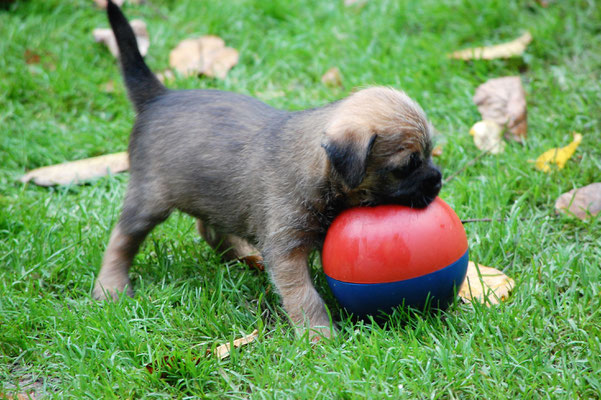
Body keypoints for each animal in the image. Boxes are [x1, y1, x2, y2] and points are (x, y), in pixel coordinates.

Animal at [94, 0, 440, 338]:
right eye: (406, 166)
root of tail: (157, 98)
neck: (319, 168)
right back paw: (110, 287)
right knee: (122, 238)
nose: (437, 182)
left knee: (208, 228)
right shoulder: (287, 252)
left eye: (429, 153)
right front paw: (319, 337)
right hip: (148, 199)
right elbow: (305, 297)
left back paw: (243, 255)